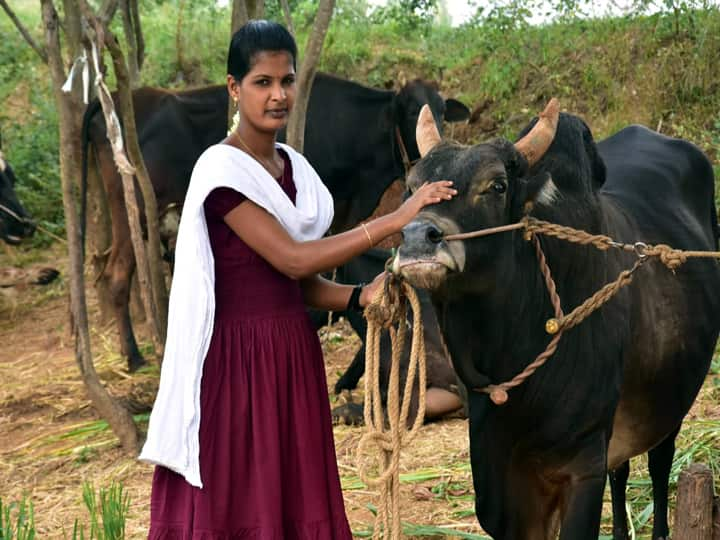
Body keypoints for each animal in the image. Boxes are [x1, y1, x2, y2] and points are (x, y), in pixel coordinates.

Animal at [81, 73, 470, 372]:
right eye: (409, 110)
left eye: (442, 110)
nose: (437, 153)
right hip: (133, 211)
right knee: (117, 274)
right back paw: (134, 357)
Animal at [394, 102, 720, 540]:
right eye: (412, 187)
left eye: (497, 186)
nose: (417, 239)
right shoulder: (501, 485)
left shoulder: (581, 468)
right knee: (621, 471)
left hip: (670, 401)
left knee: (659, 462)